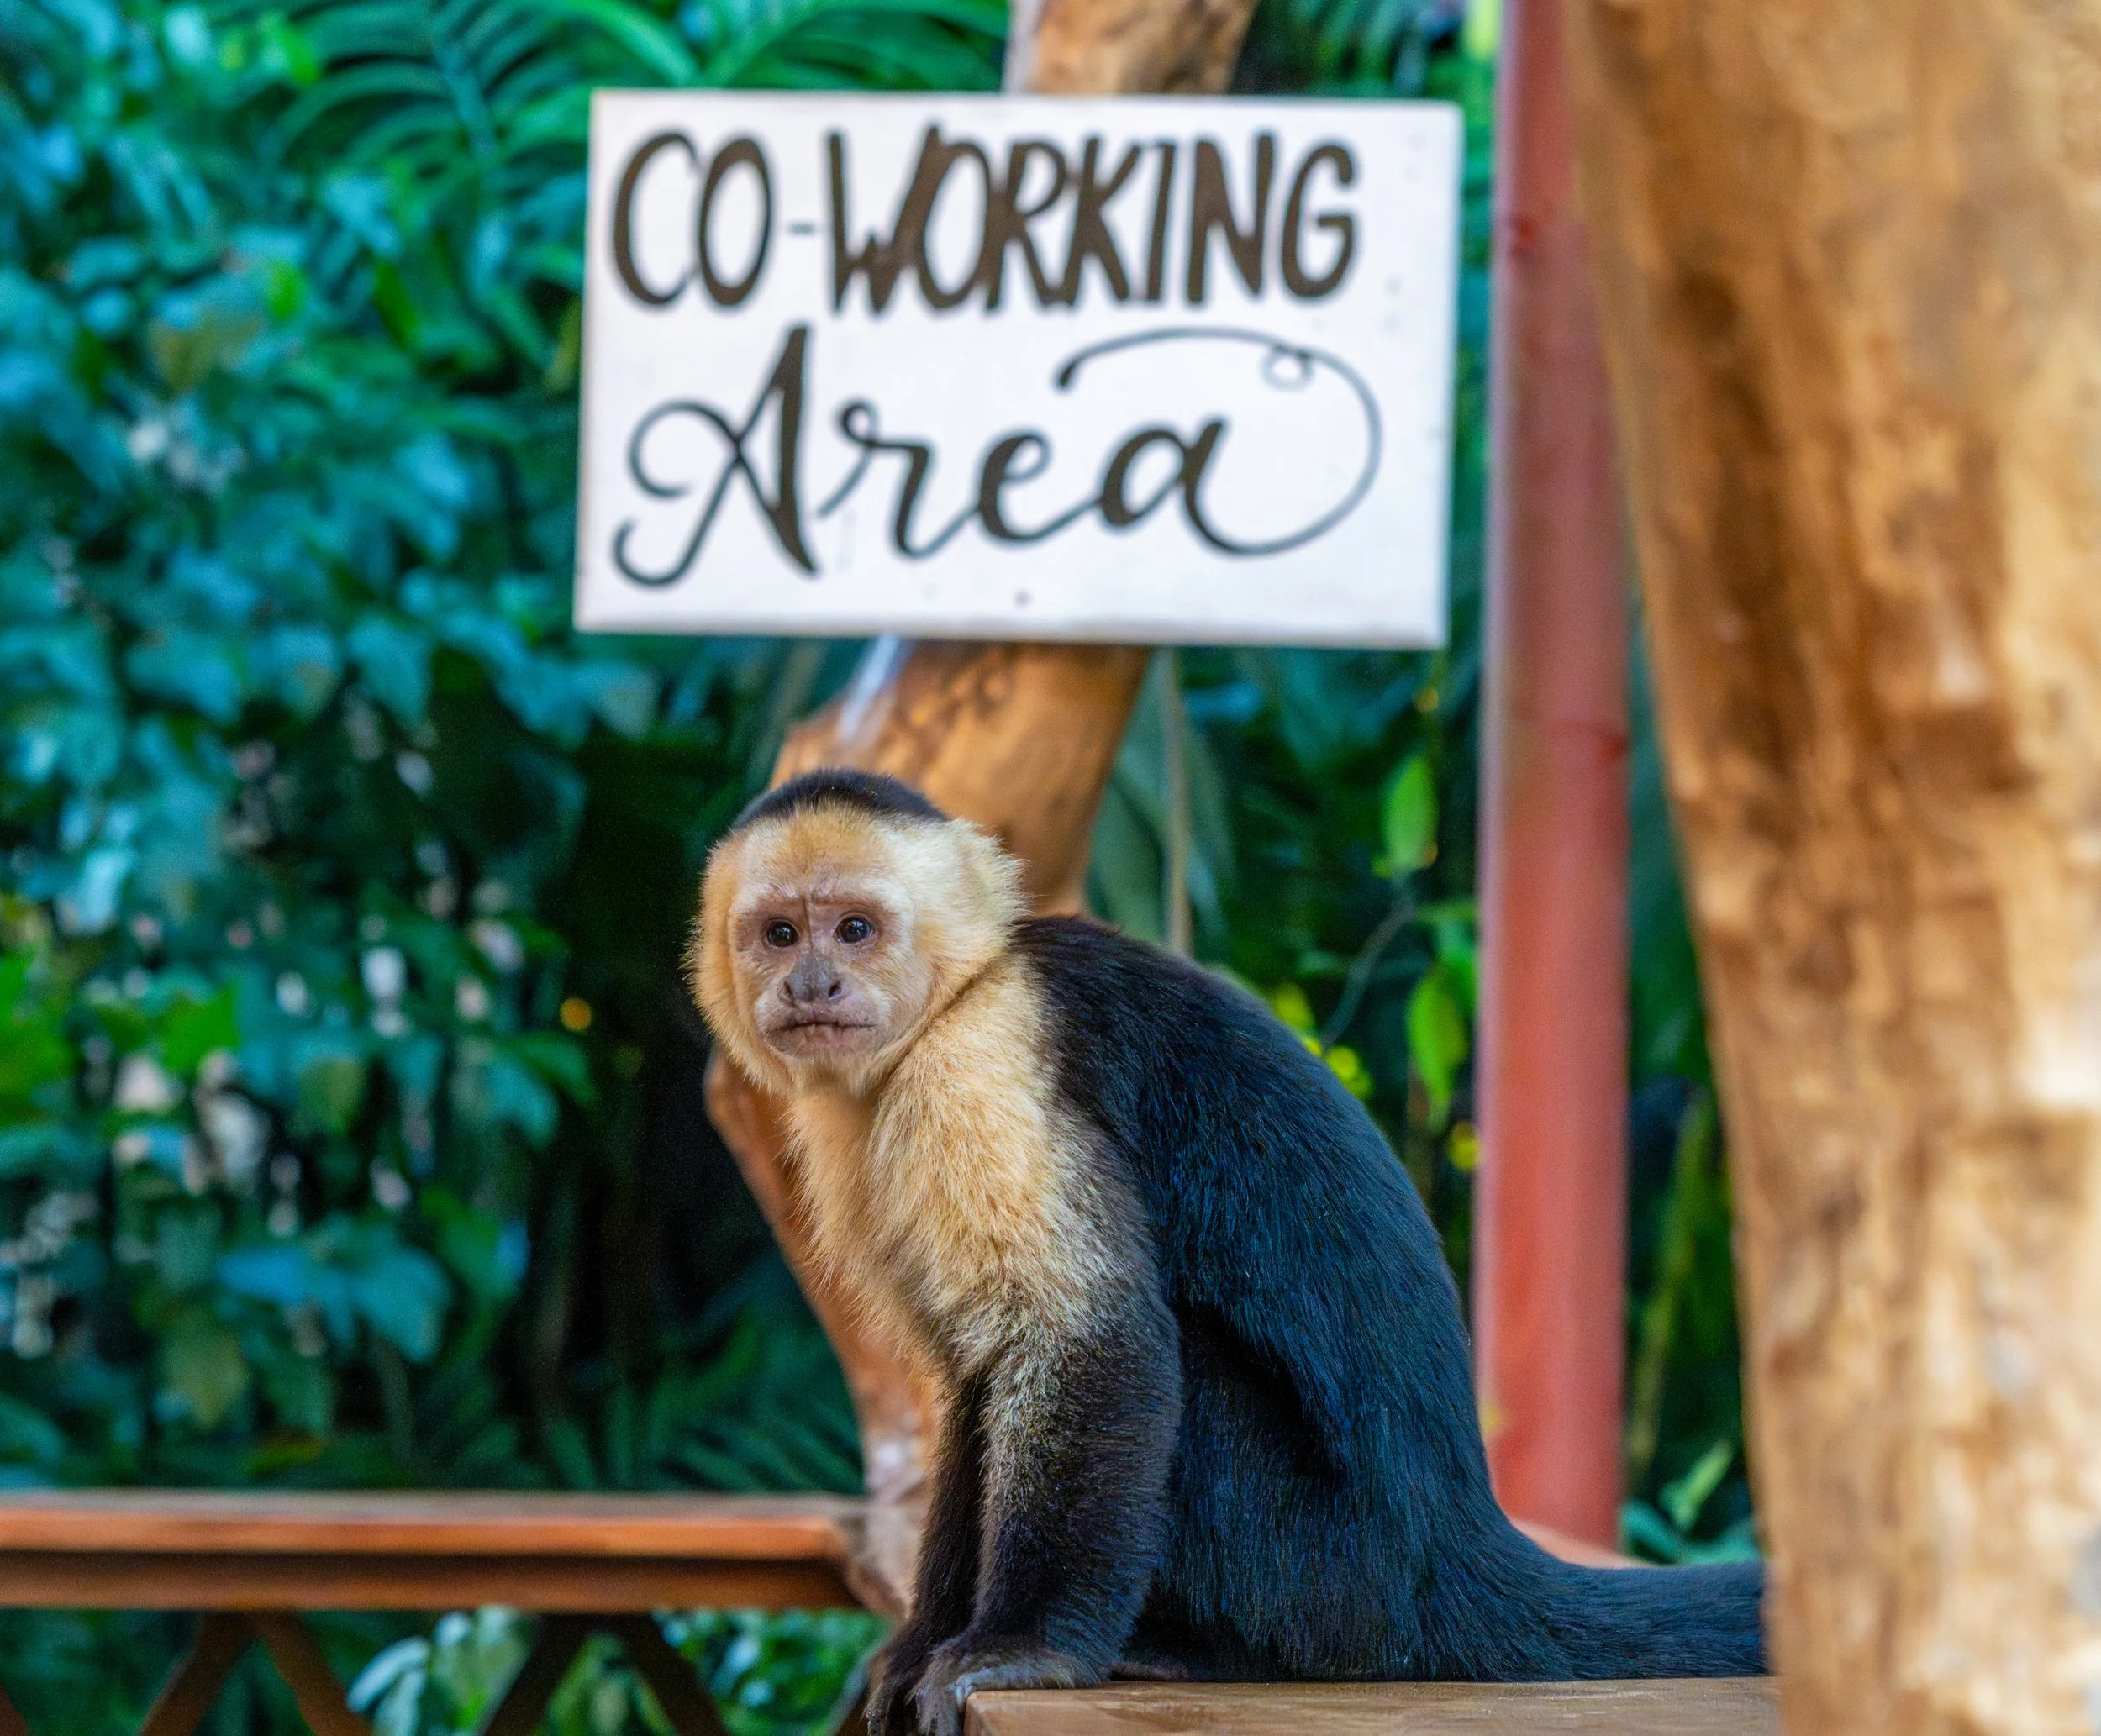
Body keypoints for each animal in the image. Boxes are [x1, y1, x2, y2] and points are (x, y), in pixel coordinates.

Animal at [692, 768, 1764, 1736]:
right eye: (780, 933)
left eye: (855, 928)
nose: (812, 983)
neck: (956, 994)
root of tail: (1462, 1551)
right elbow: (977, 1382)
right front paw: (921, 1641)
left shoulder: (982, 1062)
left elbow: (1087, 1340)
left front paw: (1021, 1646)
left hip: (1330, 1575)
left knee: (1192, 1375)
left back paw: (1202, 1650)